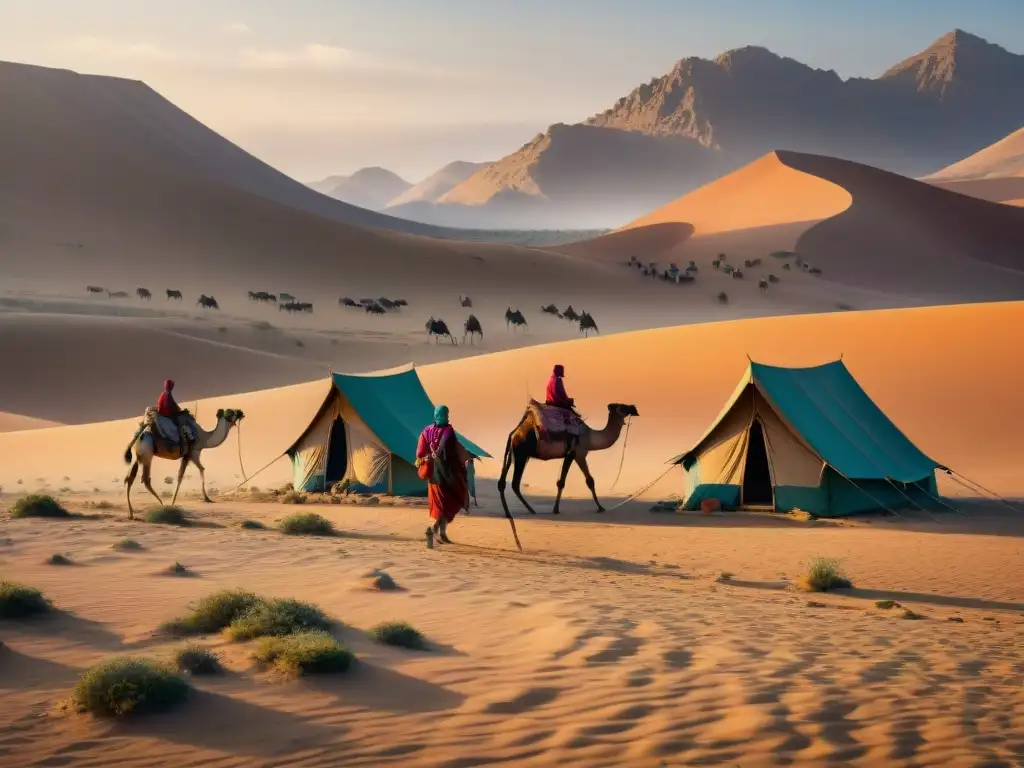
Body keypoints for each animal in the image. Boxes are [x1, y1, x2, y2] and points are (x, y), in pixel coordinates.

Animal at [497, 403, 634, 518]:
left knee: (502, 483)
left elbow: (577, 481)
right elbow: (581, 481)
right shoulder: (576, 454)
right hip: (521, 454)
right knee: (514, 483)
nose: (633, 407)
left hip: (515, 454)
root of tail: (513, 434)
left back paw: (512, 512)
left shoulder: (575, 455)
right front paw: (600, 508)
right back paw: (525, 511)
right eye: (622, 406)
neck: (590, 437)